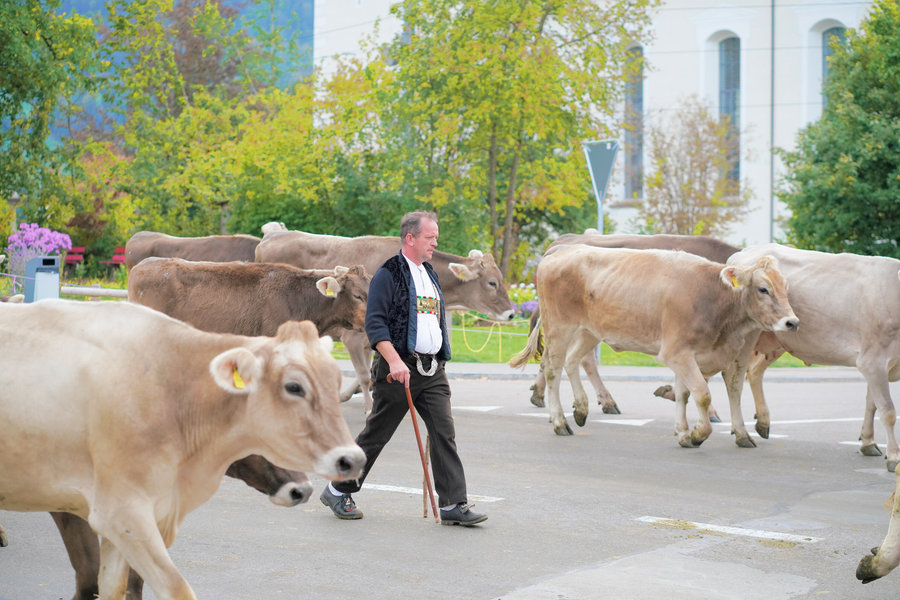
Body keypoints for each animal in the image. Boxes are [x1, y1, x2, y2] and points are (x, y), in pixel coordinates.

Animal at [0, 299, 366, 600]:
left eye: (334, 382)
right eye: (294, 386)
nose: (353, 459)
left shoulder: (126, 523)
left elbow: (113, 587)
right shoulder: (119, 512)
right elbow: (170, 588)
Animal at [255, 229, 516, 412]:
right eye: (492, 283)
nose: (511, 313)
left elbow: (370, 373)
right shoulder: (353, 337)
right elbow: (364, 374)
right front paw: (368, 406)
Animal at [728, 243, 900, 472]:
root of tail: (742, 252)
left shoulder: (881, 364)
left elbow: (872, 404)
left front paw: (868, 442)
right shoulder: (872, 360)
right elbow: (887, 411)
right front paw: (894, 457)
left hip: (776, 339)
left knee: (754, 372)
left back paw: (762, 423)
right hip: (745, 337)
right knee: (734, 381)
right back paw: (740, 434)